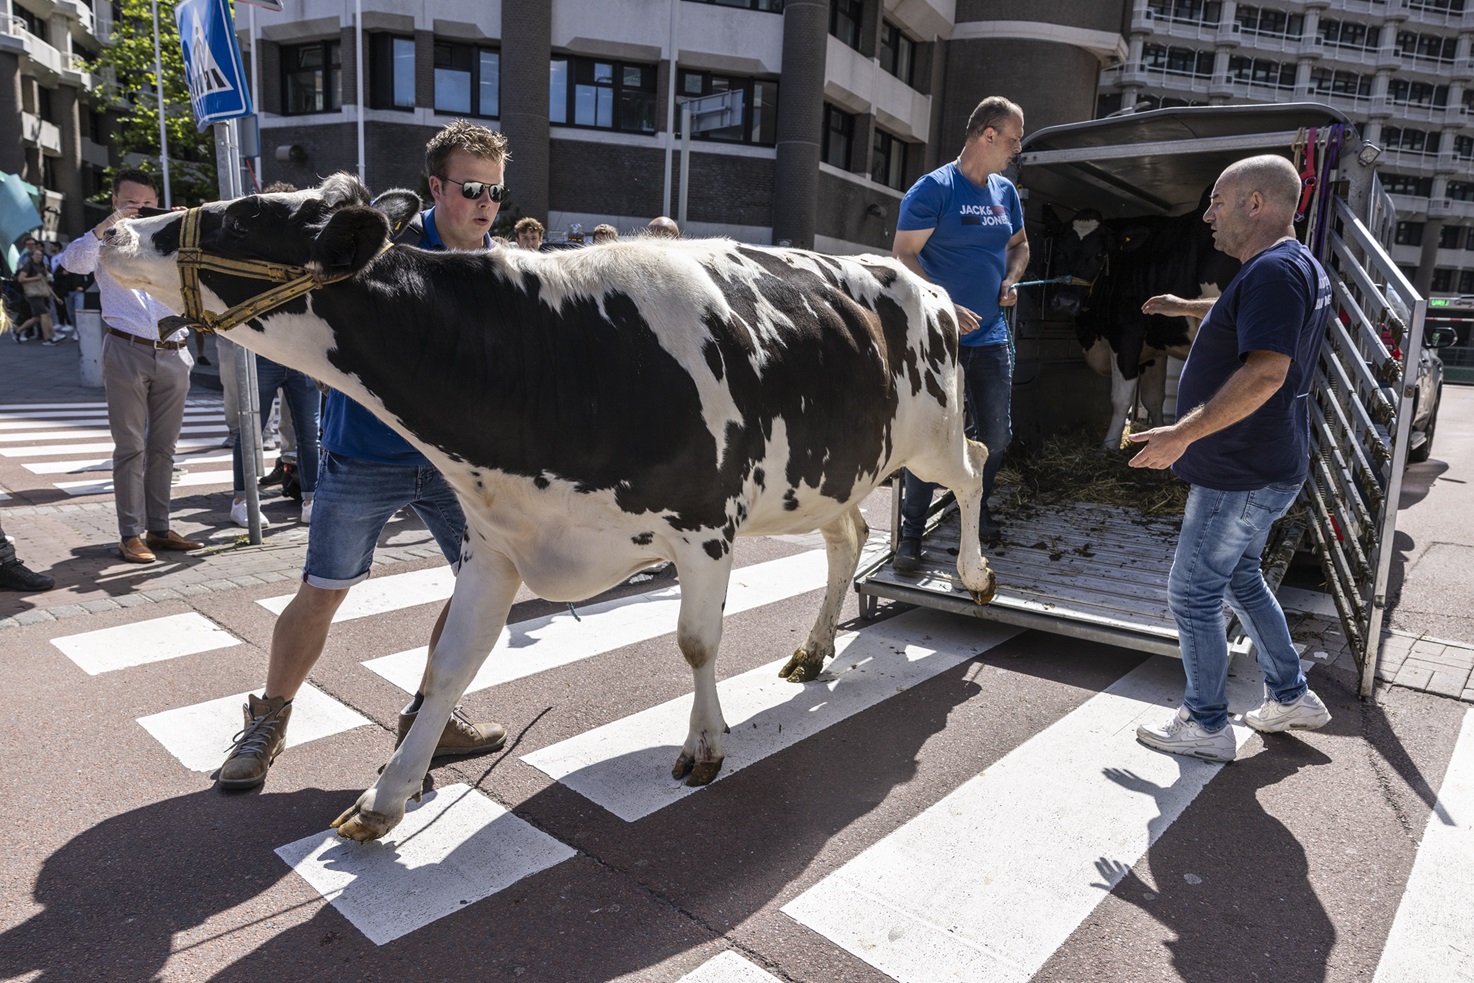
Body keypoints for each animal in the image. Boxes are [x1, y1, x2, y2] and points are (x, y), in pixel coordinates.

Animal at [103, 174, 996, 837]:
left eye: (245, 216)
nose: (116, 231)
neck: (552, 357)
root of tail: (924, 282)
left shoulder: (705, 525)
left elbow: (697, 642)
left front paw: (705, 745)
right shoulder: (495, 542)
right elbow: (449, 662)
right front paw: (386, 797)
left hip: (932, 429)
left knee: (976, 469)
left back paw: (977, 575)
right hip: (829, 473)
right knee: (849, 535)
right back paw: (813, 650)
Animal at [1043, 194, 1238, 448]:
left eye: (1099, 255)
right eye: (1058, 250)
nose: (1066, 301)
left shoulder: (1126, 334)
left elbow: (1121, 398)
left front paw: (1108, 447)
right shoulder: (1154, 347)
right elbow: (1154, 397)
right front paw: (1155, 435)